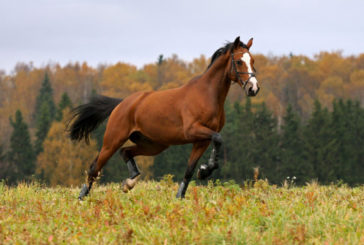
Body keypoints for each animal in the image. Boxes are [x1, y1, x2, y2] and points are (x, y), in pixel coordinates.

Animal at [69, 36, 258, 201]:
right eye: (239, 61)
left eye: (253, 61)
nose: (253, 88)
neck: (207, 95)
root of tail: (122, 103)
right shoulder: (193, 131)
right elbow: (218, 138)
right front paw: (205, 170)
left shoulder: (201, 141)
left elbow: (190, 169)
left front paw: (183, 193)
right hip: (113, 140)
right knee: (95, 168)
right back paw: (82, 198)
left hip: (154, 145)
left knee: (125, 152)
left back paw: (129, 182)